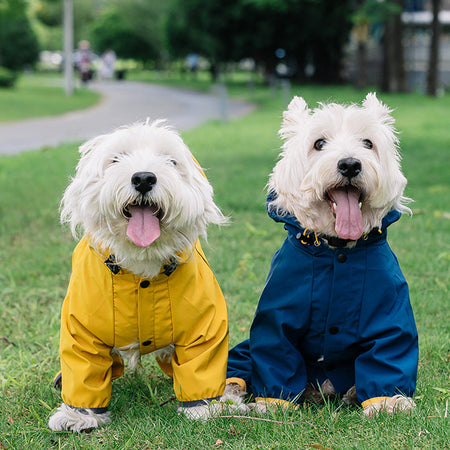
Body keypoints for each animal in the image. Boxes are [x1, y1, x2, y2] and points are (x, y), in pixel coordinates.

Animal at [48, 120, 232, 432]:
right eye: (116, 159)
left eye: (171, 161)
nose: (144, 178)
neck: (141, 268)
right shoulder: (80, 328)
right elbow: (84, 367)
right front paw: (78, 415)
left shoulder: (204, 325)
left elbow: (201, 361)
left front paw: (203, 409)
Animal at [225, 93, 418, 416]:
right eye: (319, 143)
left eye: (368, 143)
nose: (350, 164)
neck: (337, 250)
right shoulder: (276, 320)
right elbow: (275, 354)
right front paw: (273, 405)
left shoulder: (389, 314)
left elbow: (389, 351)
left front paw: (389, 403)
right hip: (244, 349)